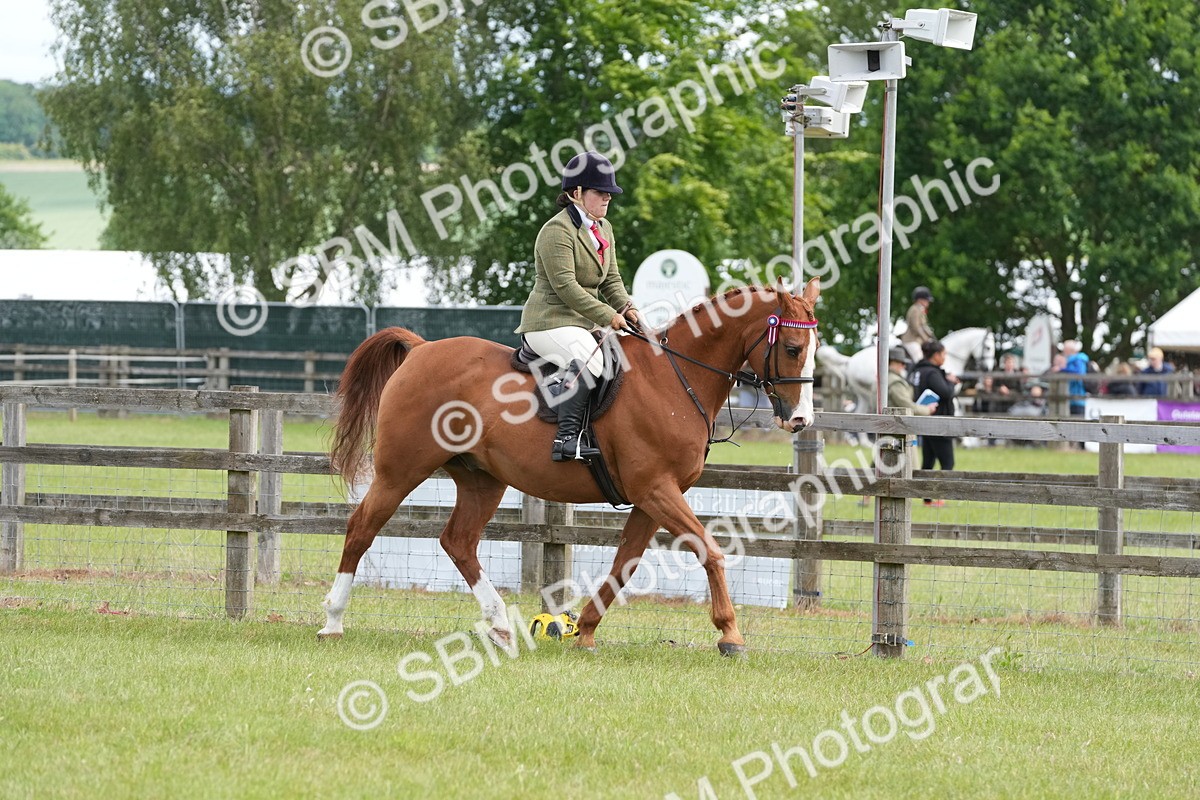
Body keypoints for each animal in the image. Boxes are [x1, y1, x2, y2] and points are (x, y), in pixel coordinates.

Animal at [318, 279, 822, 656]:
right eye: (792, 347)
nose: (801, 420)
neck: (674, 380)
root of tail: (422, 349)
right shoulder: (656, 489)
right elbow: (710, 551)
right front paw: (730, 634)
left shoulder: (652, 497)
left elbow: (625, 563)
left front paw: (586, 630)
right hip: (401, 470)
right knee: (362, 528)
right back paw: (333, 621)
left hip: (483, 480)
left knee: (458, 542)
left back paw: (500, 627)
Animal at [816, 327, 996, 418]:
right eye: (988, 347)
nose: (987, 368)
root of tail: (851, 360)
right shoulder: (947, 393)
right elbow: (956, 408)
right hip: (871, 392)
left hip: (863, 395)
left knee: (859, 413)